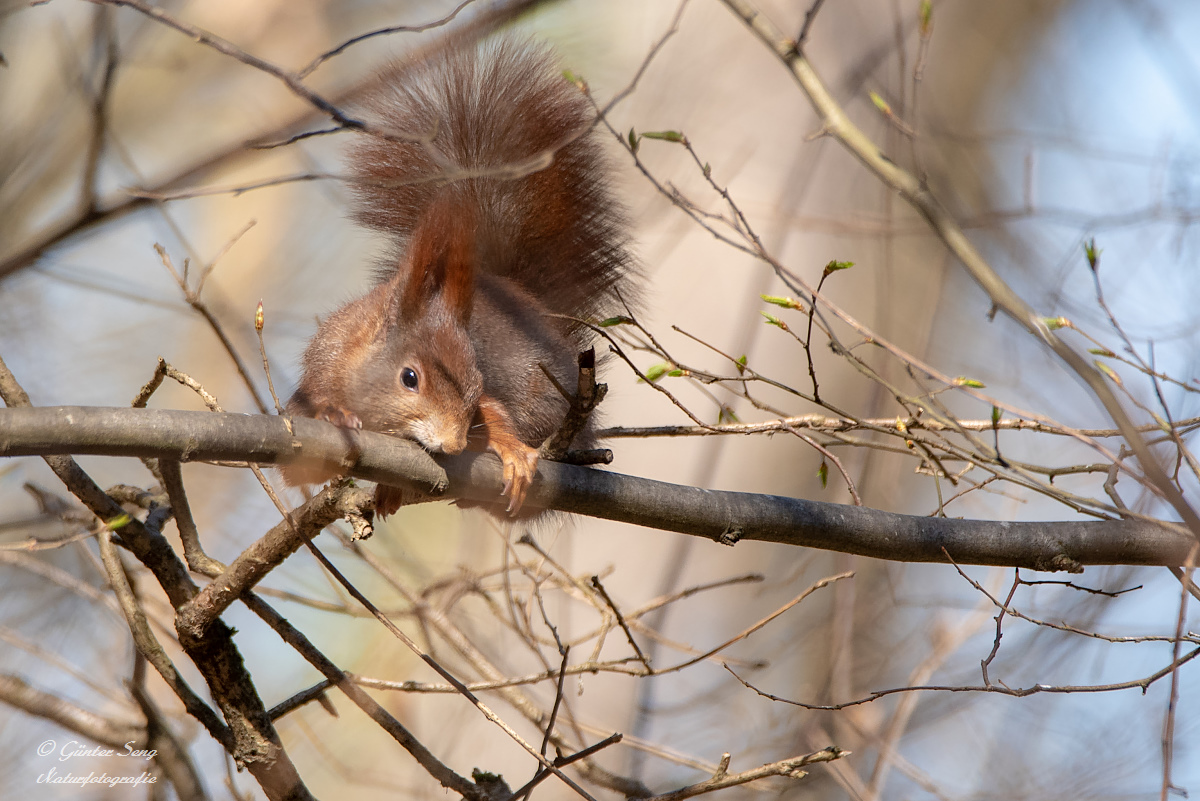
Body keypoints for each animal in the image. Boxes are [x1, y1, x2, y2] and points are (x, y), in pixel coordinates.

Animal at [284, 34, 638, 515]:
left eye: (476, 380)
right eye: (409, 378)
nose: (453, 443)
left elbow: (495, 413)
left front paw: (511, 450)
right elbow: (299, 462)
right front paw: (336, 416)